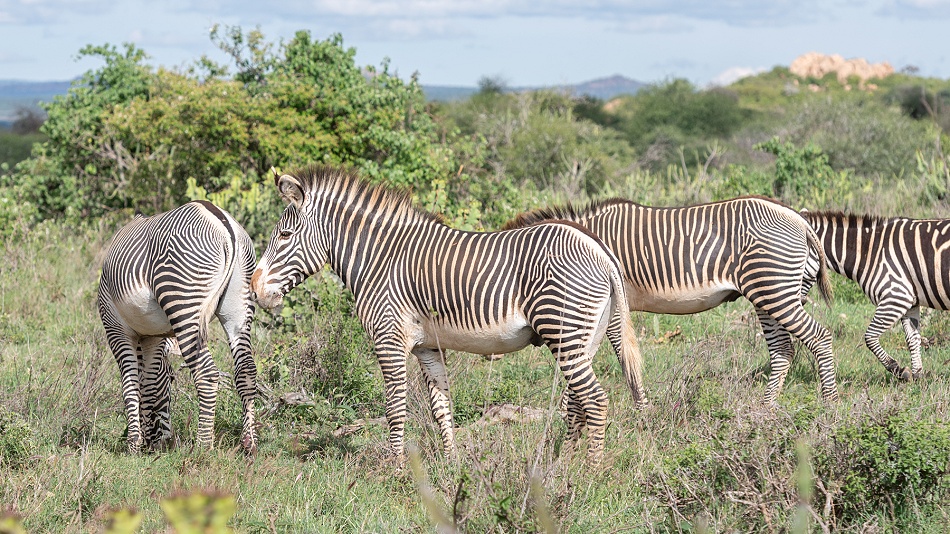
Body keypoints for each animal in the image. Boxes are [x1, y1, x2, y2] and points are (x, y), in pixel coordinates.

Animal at [98, 200, 258, 454]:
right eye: (171, 379)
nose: (165, 440)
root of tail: (225, 226)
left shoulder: (116, 329)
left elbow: (131, 382)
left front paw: (134, 444)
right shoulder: (153, 337)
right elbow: (148, 383)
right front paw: (149, 443)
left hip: (183, 302)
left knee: (207, 374)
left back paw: (203, 446)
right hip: (239, 307)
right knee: (246, 369)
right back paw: (249, 443)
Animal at [250, 164, 648, 465]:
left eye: (285, 235)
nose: (255, 289)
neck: (380, 259)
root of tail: (598, 248)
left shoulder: (388, 338)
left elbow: (395, 407)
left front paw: (396, 471)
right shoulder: (428, 347)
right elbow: (441, 406)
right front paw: (452, 464)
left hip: (562, 329)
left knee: (594, 400)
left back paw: (588, 473)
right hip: (586, 337)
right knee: (578, 401)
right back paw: (563, 464)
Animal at [502, 196, 840, 404]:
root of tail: (799, 220)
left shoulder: (613, 307)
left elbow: (622, 356)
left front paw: (641, 411)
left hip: (775, 291)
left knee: (819, 337)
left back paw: (829, 404)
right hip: (773, 294)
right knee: (783, 349)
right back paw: (767, 407)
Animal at [801, 210, 950, 380]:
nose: (800, 301)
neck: (869, 251)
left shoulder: (896, 297)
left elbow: (870, 337)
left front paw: (899, 370)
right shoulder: (910, 302)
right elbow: (913, 339)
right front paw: (918, 376)